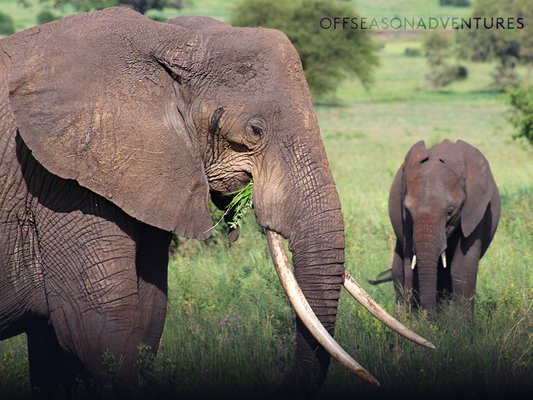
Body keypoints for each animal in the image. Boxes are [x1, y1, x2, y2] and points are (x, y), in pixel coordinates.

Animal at [384, 139, 500, 318]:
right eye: (408, 210)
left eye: (450, 211)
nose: (430, 319)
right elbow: (410, 265)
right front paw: (415, 322)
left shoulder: (475, 209)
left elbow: (462, 267)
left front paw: (459, 324)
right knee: (398, 270)